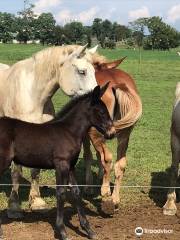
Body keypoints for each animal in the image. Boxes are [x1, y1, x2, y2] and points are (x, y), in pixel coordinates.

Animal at [0, 44, 97, 218]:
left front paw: (37, 201)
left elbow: (35, 171)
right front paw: (14, 206)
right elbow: (16, 171)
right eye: (82, 71)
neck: (33, 95)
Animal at [83, 57, 143, 214]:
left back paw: (105, 193)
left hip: (96, 133)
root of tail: (117, 84)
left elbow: (88, 156)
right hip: (125, 135)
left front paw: (88, 186)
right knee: (120, 164)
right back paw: (115, 199)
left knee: (108, 158)